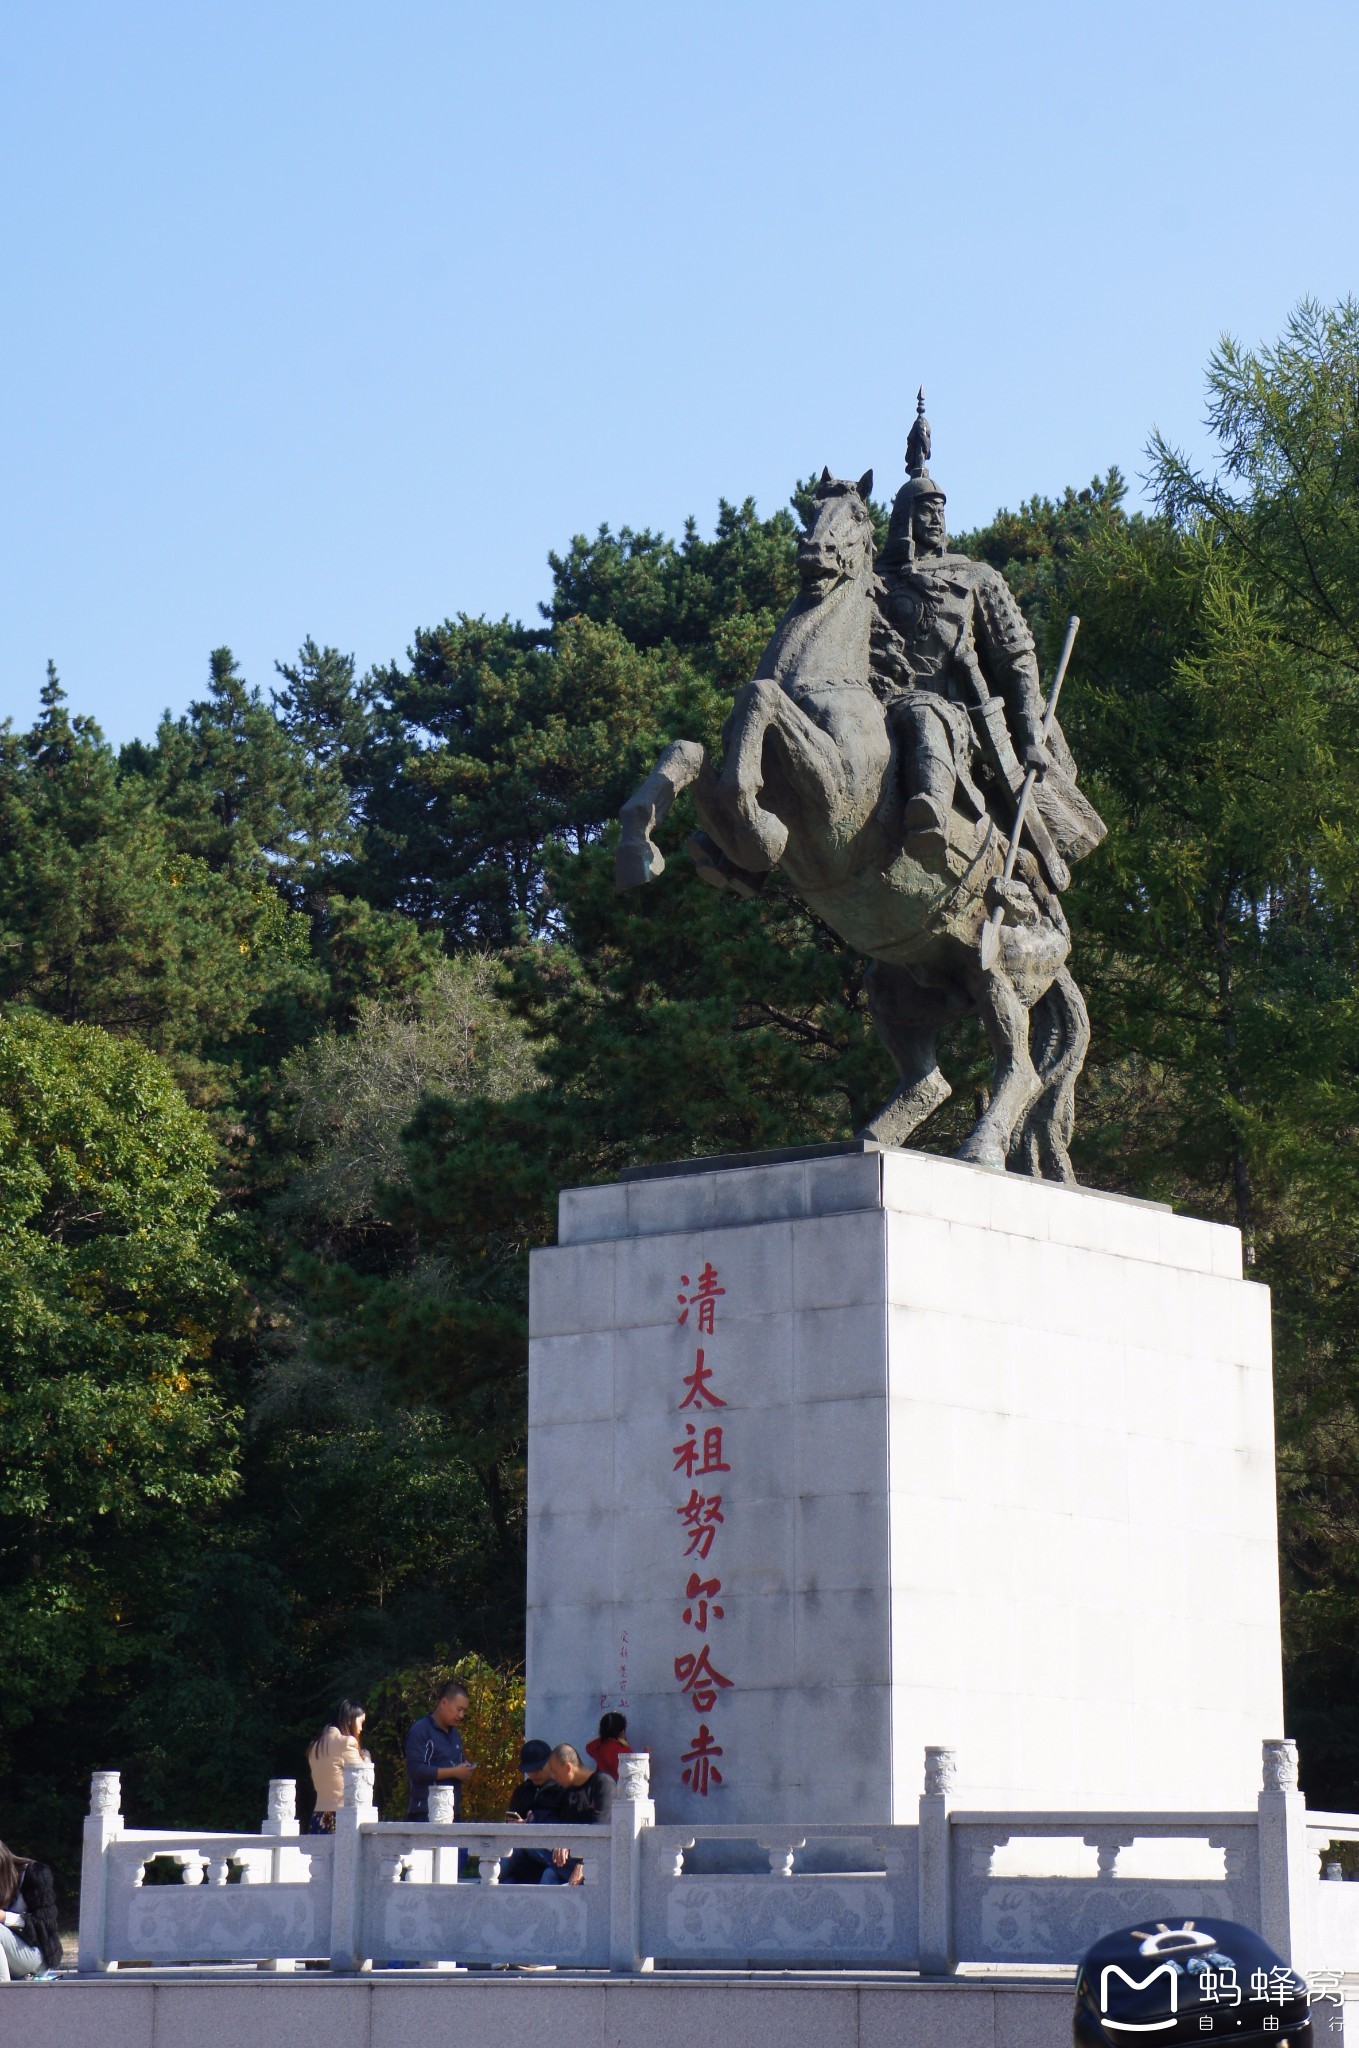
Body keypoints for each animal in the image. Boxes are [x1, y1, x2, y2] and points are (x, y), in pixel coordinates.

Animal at [614, 462, 1097, 1171]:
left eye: (858, 516)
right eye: (809, 508)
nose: (814, 553)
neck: (823, 686)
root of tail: (1061, 947)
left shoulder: (835, 799)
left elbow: (758, 701)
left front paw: (755, 832)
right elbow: (692, 749)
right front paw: (647, 849)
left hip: (997, 977)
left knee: (1019, 1068)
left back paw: (979, 1149)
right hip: (898, 990)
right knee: (932, 1079)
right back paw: (871, 1138)